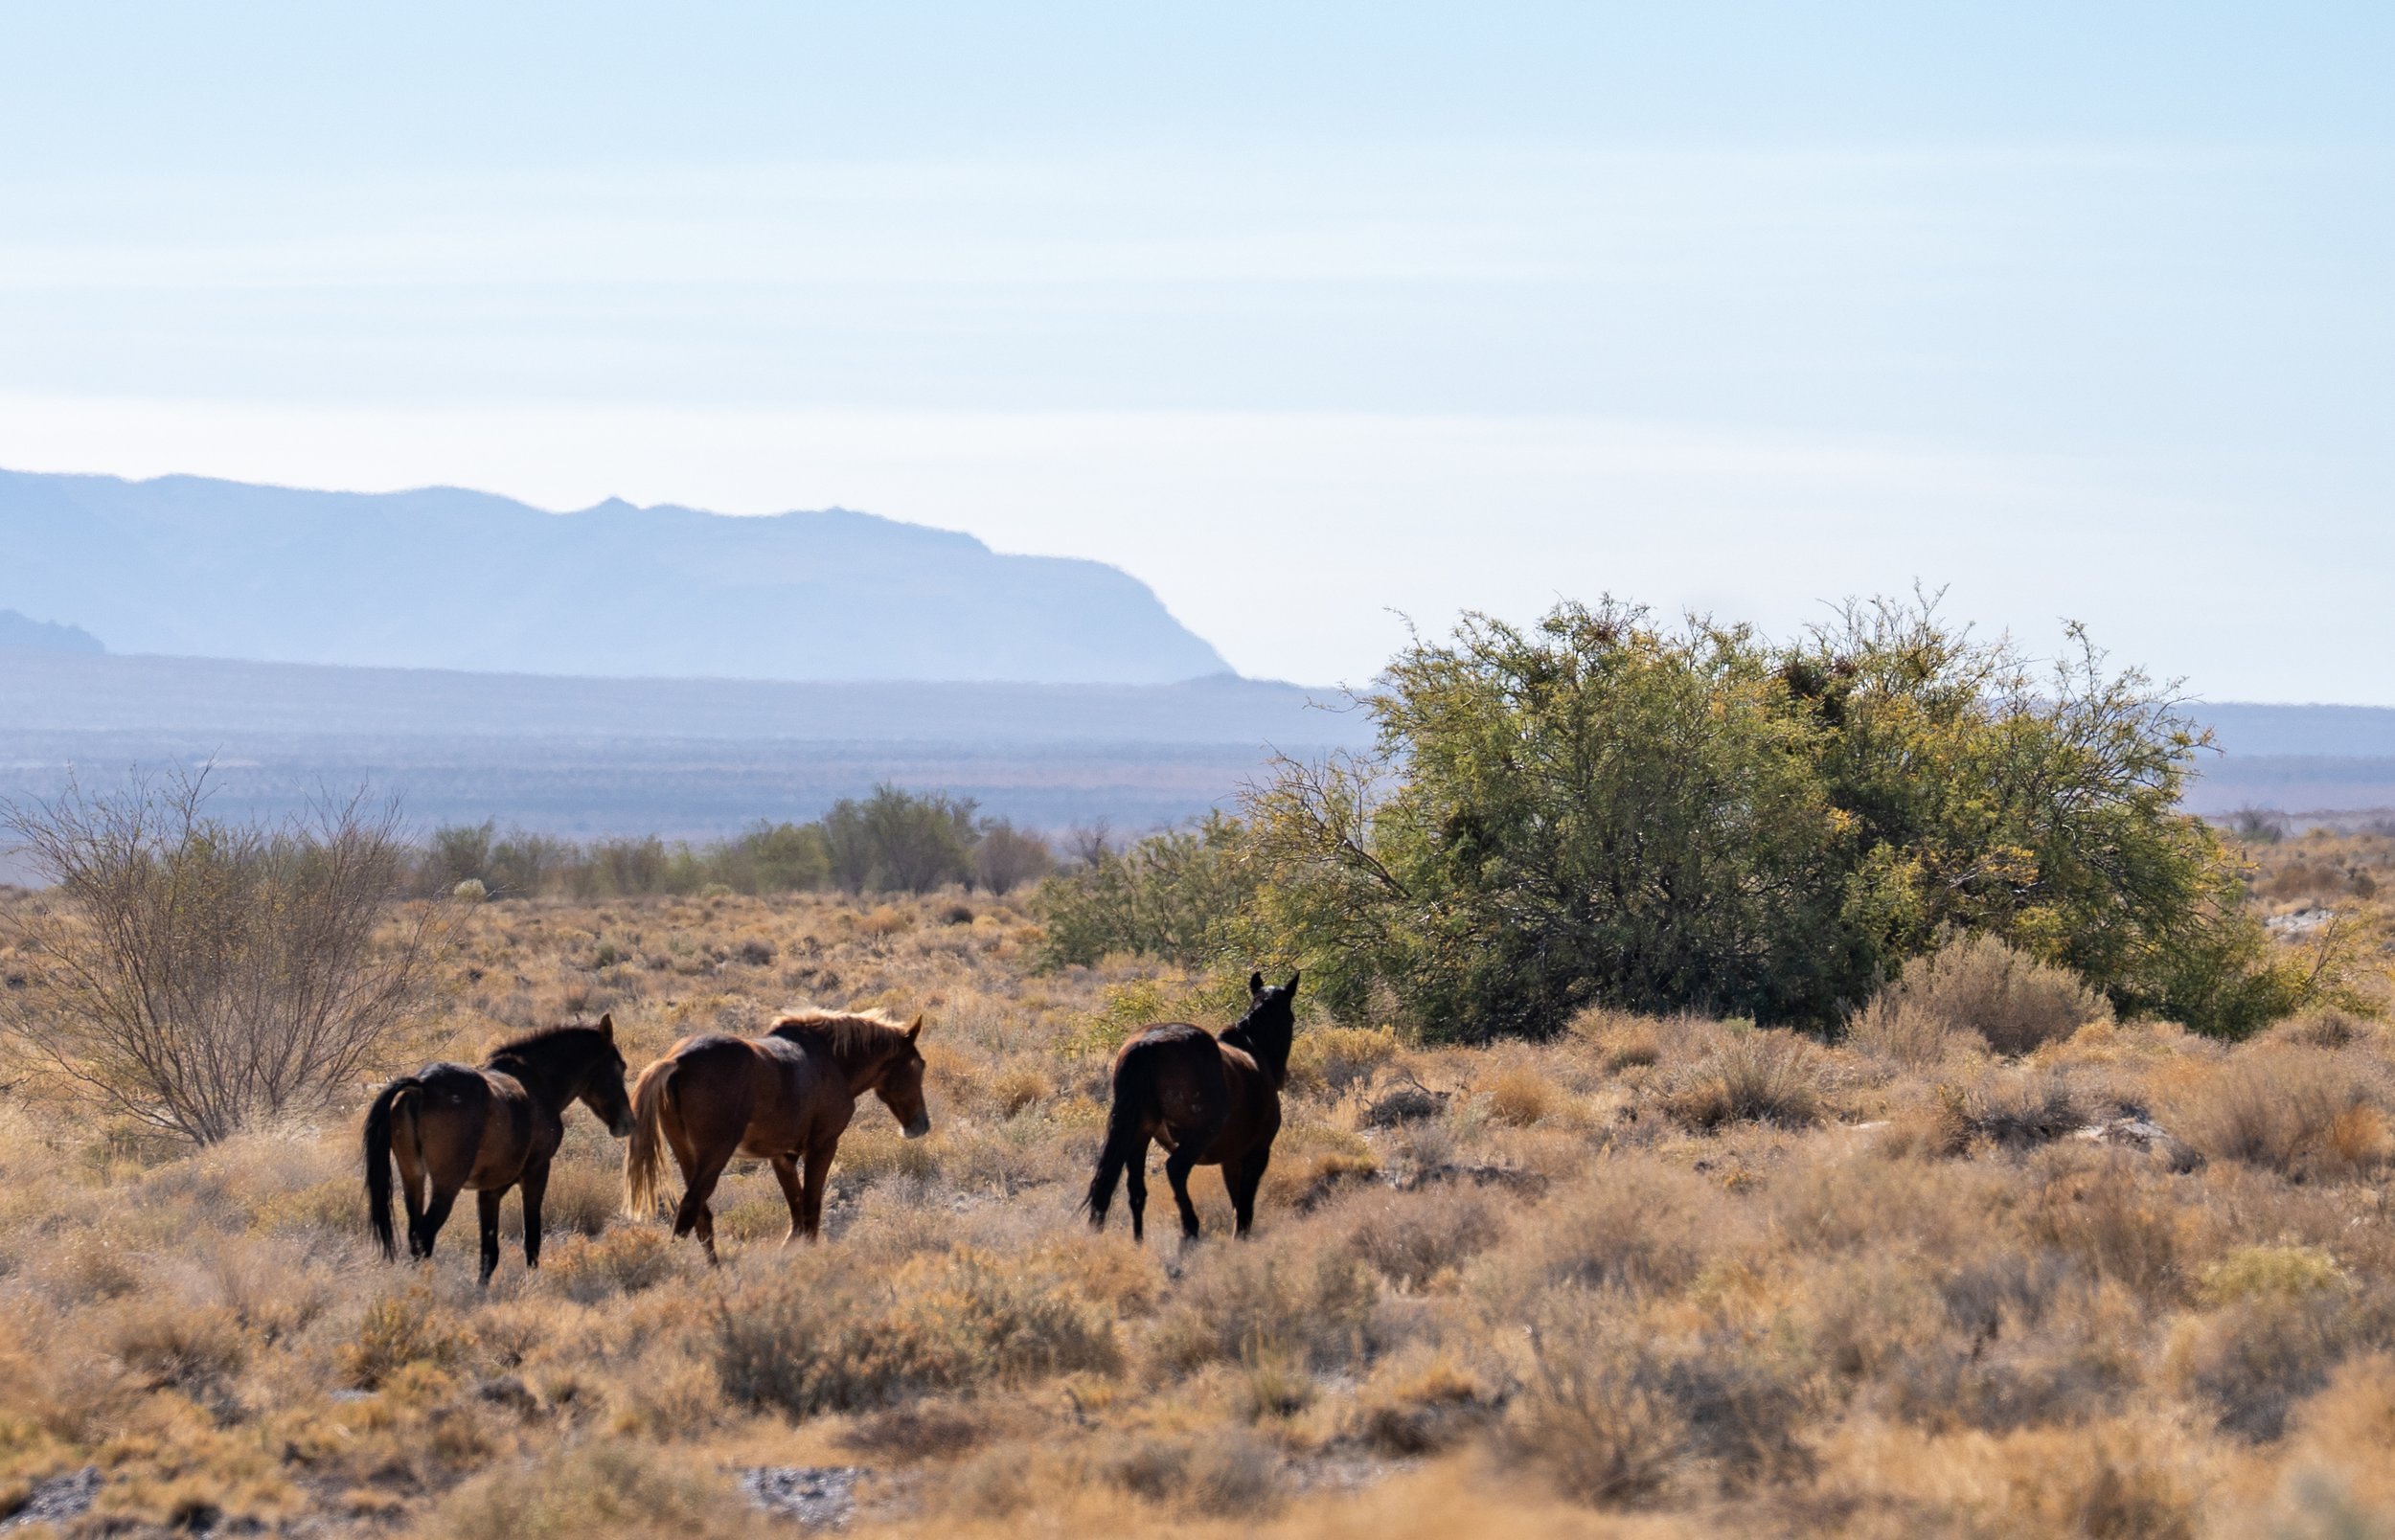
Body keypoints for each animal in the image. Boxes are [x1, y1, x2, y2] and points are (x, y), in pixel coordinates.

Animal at [362, 1015, 636, 1284]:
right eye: (620, 1067)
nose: (628, 1122)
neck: (537, 1080)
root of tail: (421, 1085)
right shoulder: (536, 1172)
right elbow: (532, 1238)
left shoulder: (490, 1190)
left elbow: (489, 1252)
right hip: (447, 1185)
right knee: (423, 1237)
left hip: (413, 1177)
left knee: (415, 1235)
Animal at [622, 1008, 930, 1260]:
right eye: (919, 1065)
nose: (921, 1125)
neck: (830, 1059)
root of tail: (678, 1062)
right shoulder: (823, 1146)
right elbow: (811, 1208)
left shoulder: (783, 1156)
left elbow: (797, 1212)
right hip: (714, 1156)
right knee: (690, 1209)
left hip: (686, 1155)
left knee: (701, 1217)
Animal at [1085, 971, 1299, 1243]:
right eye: (1290, 1016)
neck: (1252, 1049)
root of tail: (1147, 1045)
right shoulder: (1257, 1152)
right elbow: (1245, 1206)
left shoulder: (1231, 1159)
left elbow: (1236, 1201)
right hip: (1199, 1135)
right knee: (1175, 1169)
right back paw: (1190, 1229)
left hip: (1138, 1133)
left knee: (1133, 1190)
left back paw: (1139, 1242)